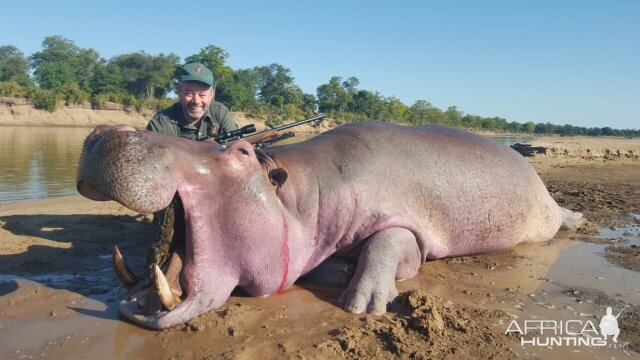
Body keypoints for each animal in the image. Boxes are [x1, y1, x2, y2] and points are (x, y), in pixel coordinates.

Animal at [77, 121, 584, 330]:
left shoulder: (406, 223)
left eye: (240, 152)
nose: (109, 131)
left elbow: (389, 244)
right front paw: (338, 270)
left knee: (561, 218)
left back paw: (580, 220)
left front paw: (362, 303)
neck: (300, 194)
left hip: (542, 217)